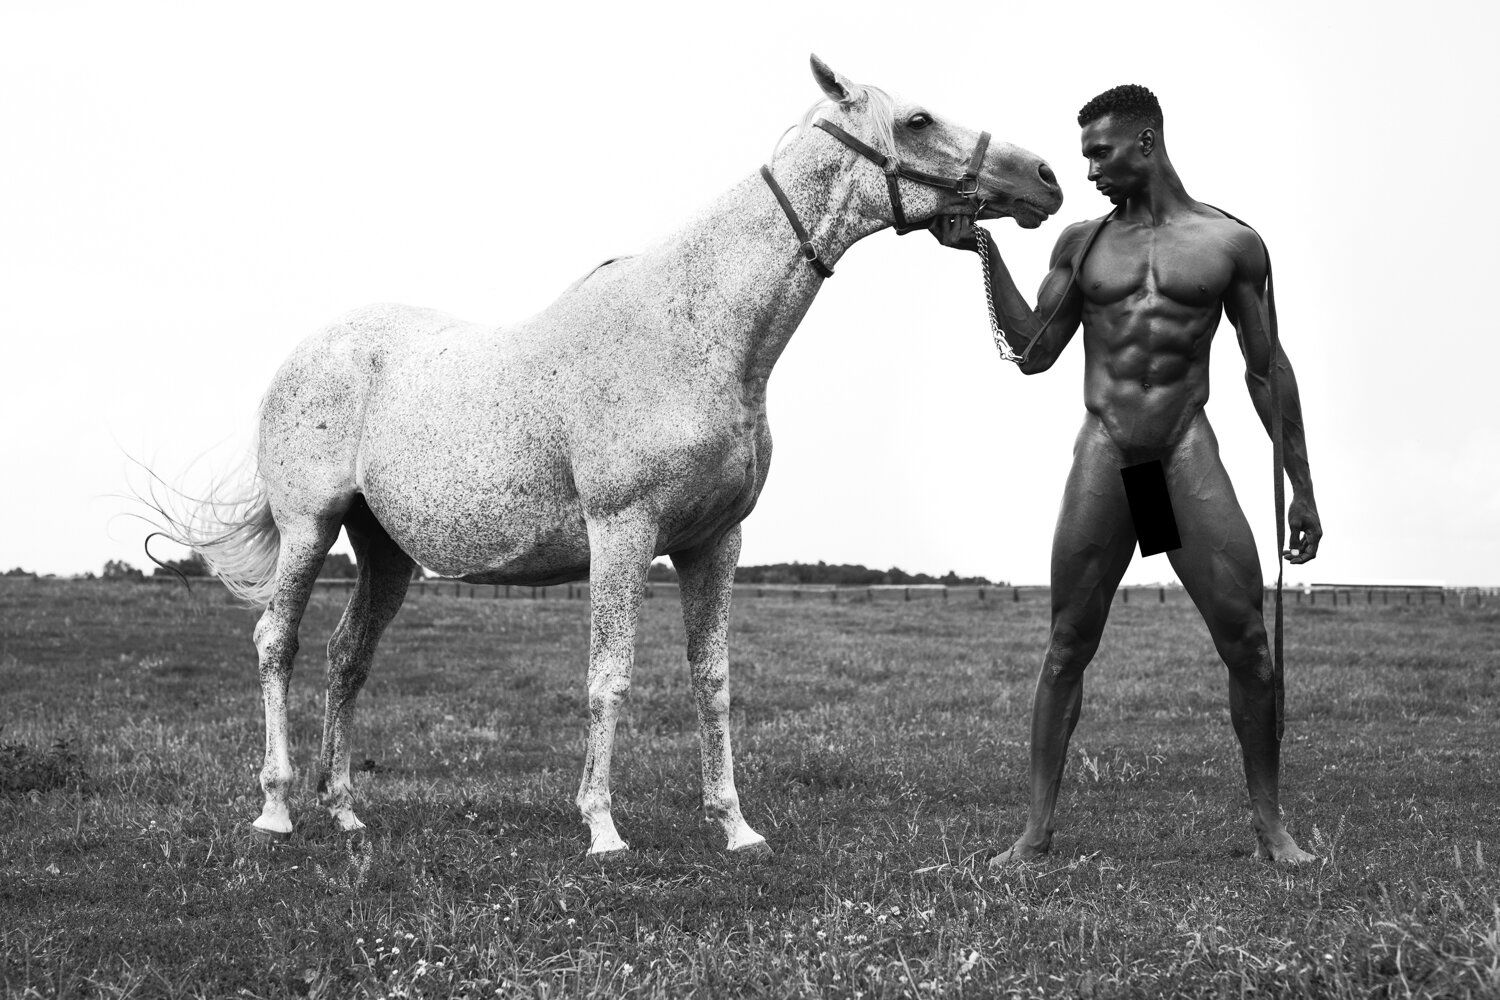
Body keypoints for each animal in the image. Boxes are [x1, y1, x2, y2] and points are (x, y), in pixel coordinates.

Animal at [160, 55, 1063, 855]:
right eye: (918, 120)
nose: (1046, 180)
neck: (698, 334)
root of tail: (311, 351)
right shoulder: (622, 533)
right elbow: (610, 674)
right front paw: (601, 829)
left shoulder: (714, 543)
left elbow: (713, 681)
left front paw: (736, 827)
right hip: (311, 526)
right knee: (277, 642)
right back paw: (276, 810)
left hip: (383, 549)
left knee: (349, 658)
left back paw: (345, 810)